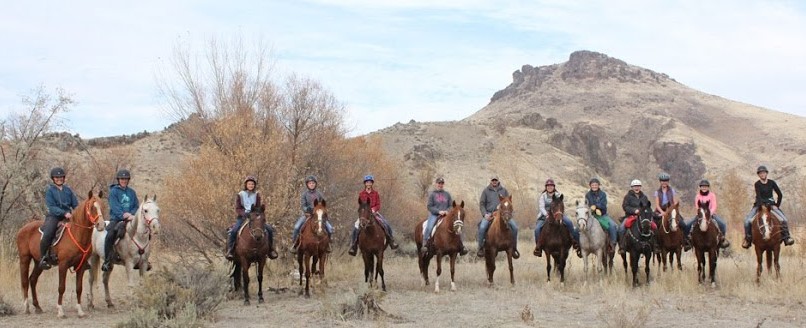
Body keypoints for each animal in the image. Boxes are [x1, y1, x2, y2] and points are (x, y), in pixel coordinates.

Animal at [16, 190, 105, 318]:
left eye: (102, 206)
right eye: (92, 207)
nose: (101, 225)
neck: (77, 235)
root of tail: (23, 228)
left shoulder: (81, 266)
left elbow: (79, 288)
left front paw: (80, 311)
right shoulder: (63, 265)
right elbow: (61, 287)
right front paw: (60, 311)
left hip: (39, 263)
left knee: (32, 280)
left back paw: (37, 307)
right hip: (25, 259)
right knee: (24, 282)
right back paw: (26, 307)